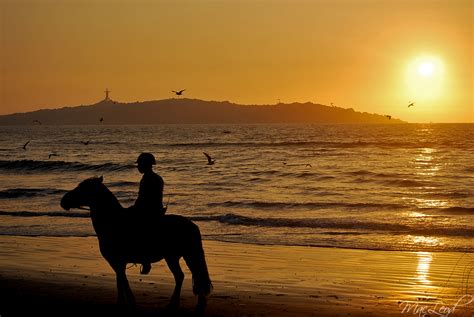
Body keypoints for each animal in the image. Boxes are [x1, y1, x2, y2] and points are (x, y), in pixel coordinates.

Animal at [60, 177, 212, 310]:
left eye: (83, 188)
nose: (63, 201)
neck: (112, 222)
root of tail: (192, 225)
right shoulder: (117, 263)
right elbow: (120, 281)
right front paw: (123, 301)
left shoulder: (117, 261)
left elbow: (122, 281)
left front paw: (127, 301)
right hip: (181, 256)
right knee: (191, 276)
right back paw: (192, 303)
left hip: (178, 257)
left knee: (185, 276)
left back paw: (179, 304)